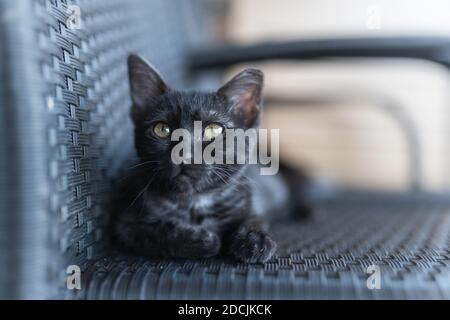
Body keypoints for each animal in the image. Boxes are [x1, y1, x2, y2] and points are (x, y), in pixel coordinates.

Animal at [112, 54, 310, 262]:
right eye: (161, 129)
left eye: (213, 130)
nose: (183, 155)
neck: (196, 202)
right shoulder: (125, 224)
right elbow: (157, 234)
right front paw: (202, 240)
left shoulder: (253, 201)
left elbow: (256, 218)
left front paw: (254, 239)